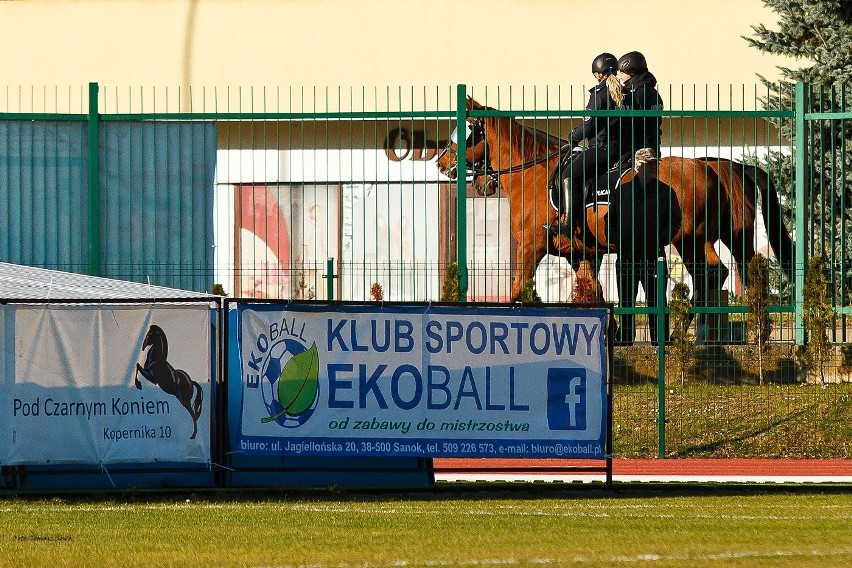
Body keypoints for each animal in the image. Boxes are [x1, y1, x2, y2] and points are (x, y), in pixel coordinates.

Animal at [436, 98, 796, 310]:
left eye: (464, 133)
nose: (441, 163)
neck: (534, 173)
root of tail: (714, 166)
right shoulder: (582, 255)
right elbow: (591, 292)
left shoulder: (530, 247)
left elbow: (516, 290)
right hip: (731, 236)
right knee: (744, 271)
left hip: (690, 239)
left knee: (712, 271)